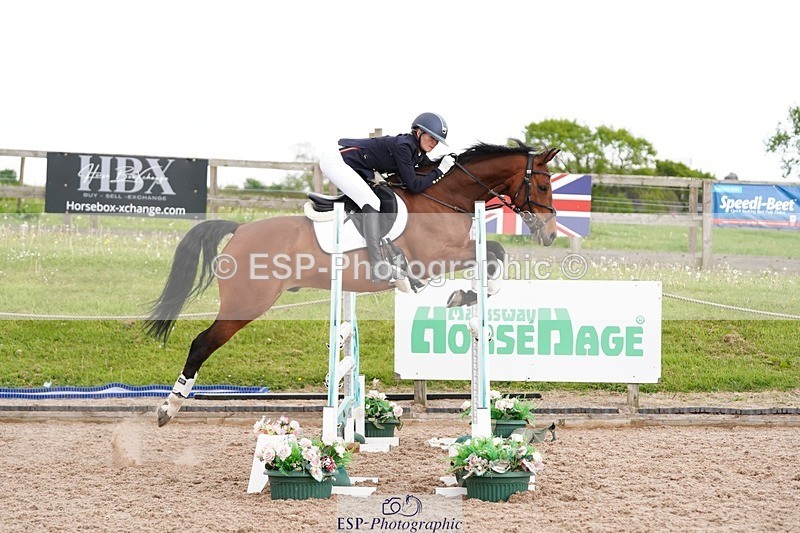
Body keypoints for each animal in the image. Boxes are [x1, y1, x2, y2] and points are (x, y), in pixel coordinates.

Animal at [145, 142, 560, 426]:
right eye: (543, 186)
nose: (551, 234)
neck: (445, 199)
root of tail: (240, 229)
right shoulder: (434, 259)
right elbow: (494, 252)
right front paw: (465, 294)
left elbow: (493, 256)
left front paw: (467, 294)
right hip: (246, 304)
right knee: (201, 344)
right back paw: (169, 406)